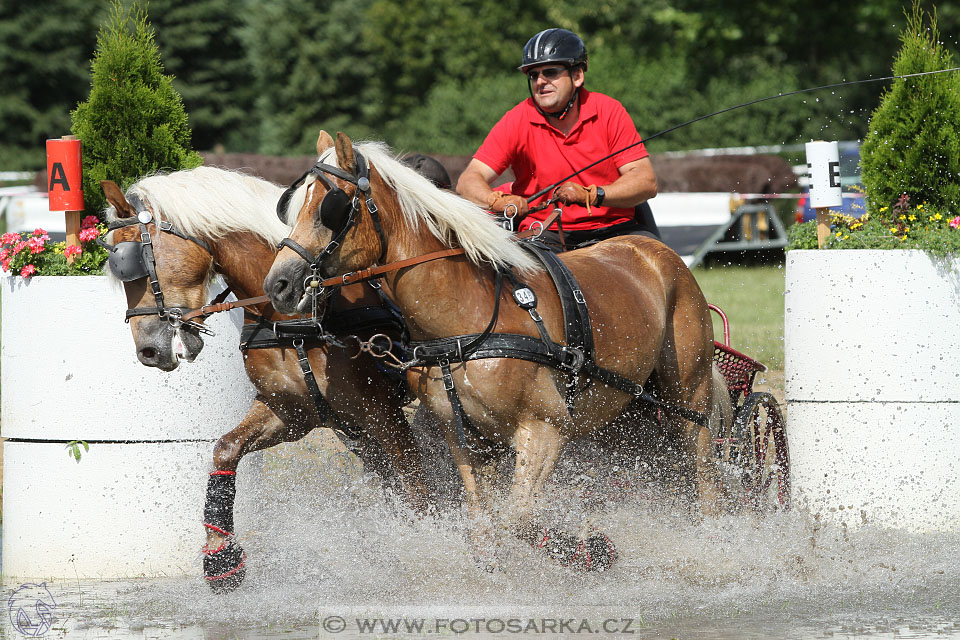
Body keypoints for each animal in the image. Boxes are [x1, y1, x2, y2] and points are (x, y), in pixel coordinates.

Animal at [99, 168, 430, 592]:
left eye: (133, 261)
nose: (147, 351)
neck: (300, 318)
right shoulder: (290, 411)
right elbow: (226, 449)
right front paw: (221, 557)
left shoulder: (381, 413)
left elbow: (419, 489)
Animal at [262, 132, 728, 572]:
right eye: (291, 206)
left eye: (330, 207)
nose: (278, 284)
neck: (467, 322)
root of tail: (659, 254)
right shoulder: (467, 439)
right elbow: (484, 530)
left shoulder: (545, 429)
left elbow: (518, 521)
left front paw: (592, 549)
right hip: (626, 413)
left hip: (689, 398)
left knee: (703, 472)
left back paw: (713, 539)